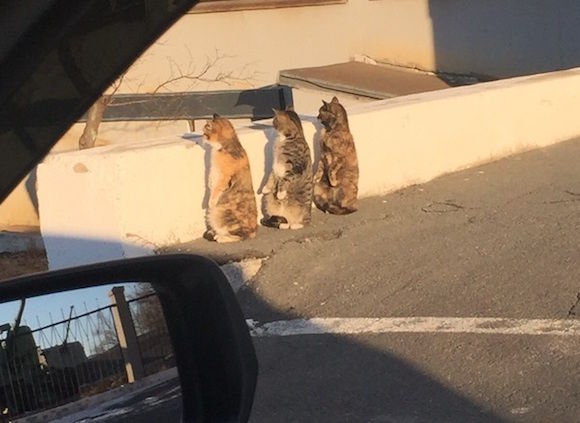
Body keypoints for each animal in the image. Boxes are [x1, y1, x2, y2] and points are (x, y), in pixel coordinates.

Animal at [204, 114, 258, 243]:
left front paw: (210, 201)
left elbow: (215, 190)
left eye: (205, 128)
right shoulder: (214, 173)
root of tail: (254, 232)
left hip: (219, 213)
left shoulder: (222, 177)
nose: (201, 134)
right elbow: (210, 182)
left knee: (240, 236)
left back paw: (220, 237)